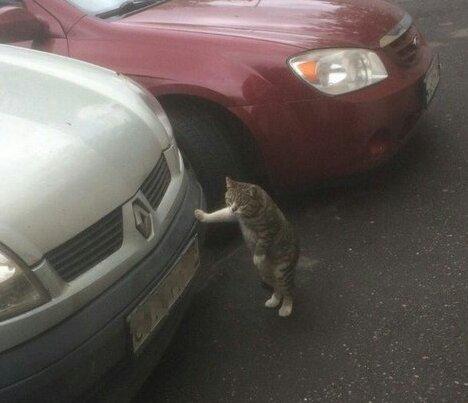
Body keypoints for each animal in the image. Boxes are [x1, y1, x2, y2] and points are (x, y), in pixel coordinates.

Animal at [195, 177, 299, 317]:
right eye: (230, 199)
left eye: (242, 203)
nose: (234, 208)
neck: (249, 215)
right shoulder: (232, 214)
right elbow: (219, 214)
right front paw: (203, 215)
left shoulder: (268, 230)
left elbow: (261, 244)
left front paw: (257, 257)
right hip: (265, 274)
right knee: (277, 288)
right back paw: (274, 300)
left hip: (283, 270)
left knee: (287, 290)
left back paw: (286, 307)